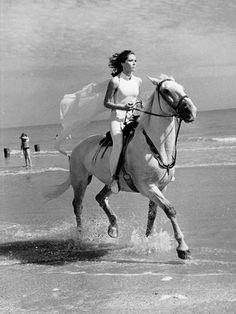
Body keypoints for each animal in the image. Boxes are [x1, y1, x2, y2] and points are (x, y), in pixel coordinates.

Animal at [49, 75, 197, 258]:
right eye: (166, 90)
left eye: (182, 88)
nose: (191, 111)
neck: (155, 145)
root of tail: (76, 148)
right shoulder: (147, 187)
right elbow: (170, 210)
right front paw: (182, 248)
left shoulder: (161, 187)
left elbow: (153, 214)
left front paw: (148, 240)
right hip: (80, 181)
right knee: (78, 206)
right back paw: (81, 236)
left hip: (111, 183)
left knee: (100, 197)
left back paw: (113, 228)